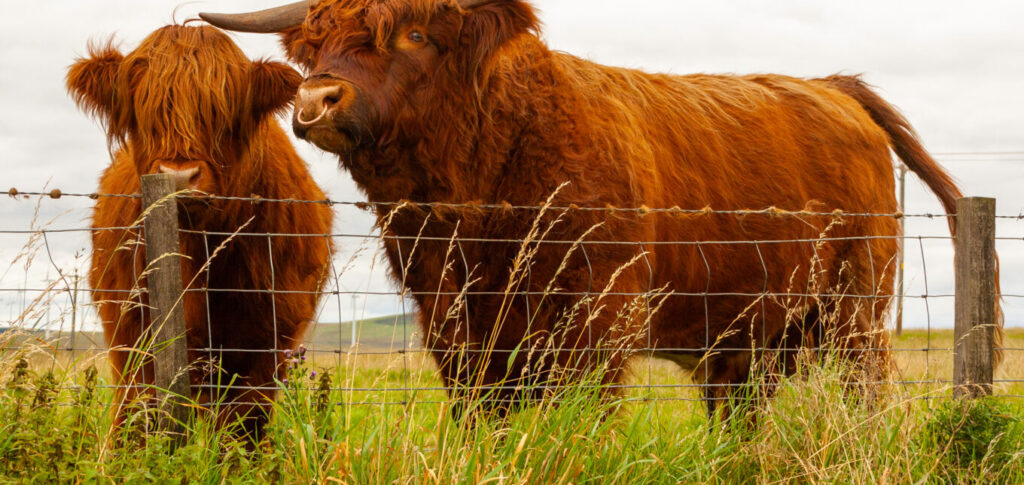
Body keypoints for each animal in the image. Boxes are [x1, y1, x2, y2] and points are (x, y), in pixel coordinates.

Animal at [66, 24, 334, 438]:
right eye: (143, 112)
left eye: (222, 111)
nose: (179, 177)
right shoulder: (129, 330)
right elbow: (138, 413)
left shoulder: (268, 341)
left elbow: (243, 426)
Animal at [201, 0, 1003, 419]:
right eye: (311, 48)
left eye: (415, 34)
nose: (316, 101)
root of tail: (831, 86)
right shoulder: (455, 324)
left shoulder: (596, 319)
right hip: (749, 336)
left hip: (853, 312)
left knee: (863, 396)